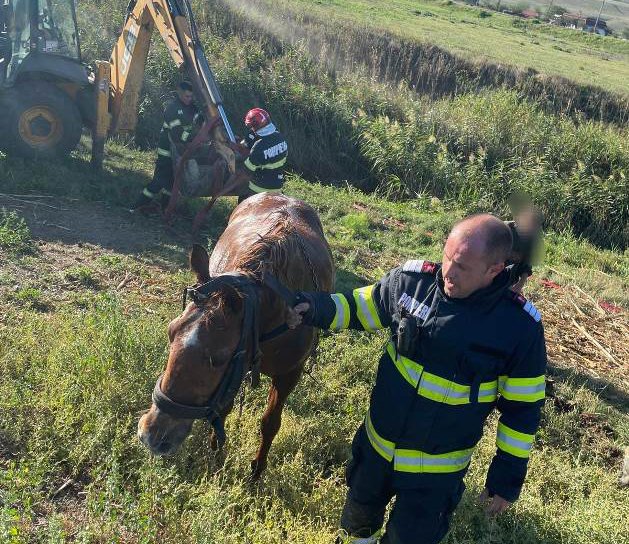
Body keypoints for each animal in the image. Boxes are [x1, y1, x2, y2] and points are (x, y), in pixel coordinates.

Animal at [137, 193, 334, 478]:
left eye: (217, 358)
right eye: (171, 332)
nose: (152, 435)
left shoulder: (289, 374)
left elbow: (270, 423)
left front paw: (256, 472)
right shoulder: (235, 374)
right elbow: (222, 413)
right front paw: (216, 459)